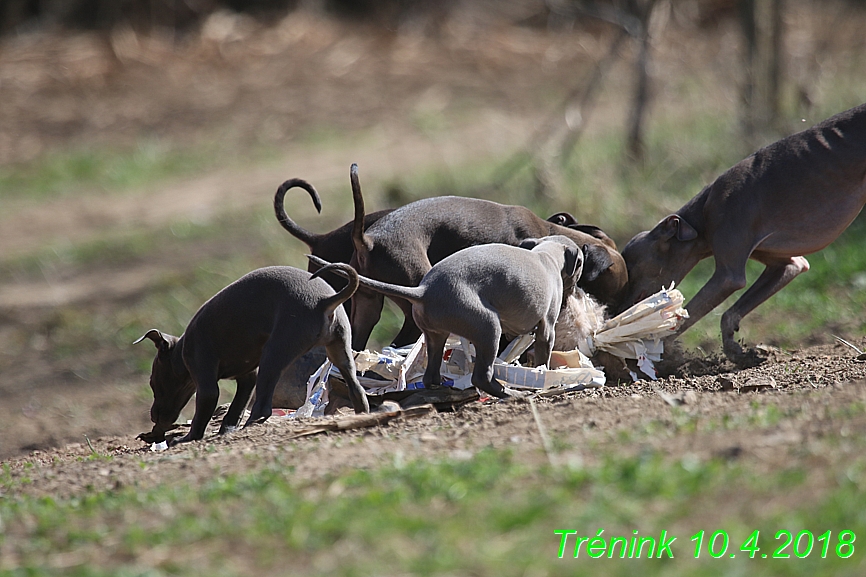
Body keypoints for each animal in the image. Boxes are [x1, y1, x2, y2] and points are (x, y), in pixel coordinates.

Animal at [135, 264, 368, 444]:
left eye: (152, 382)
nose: (155, 417)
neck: (181, 350)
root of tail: (325, 301)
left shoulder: (203, 373)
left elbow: (205, 408)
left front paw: (185, 438)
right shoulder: (247, 377)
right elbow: (236, 408)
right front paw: (226, 430)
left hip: (274, 353)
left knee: (264, 407)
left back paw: (250, 425)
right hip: (340, 350)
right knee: (357, 390)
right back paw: (363, 414)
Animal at [308, 236, 576, 398]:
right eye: (581, 263)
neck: (545, 254)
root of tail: (424, 291)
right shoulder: (546, 327)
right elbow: (544, 352)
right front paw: (545, 375)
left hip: (436, 334)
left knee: (430, 375)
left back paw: (443, 387)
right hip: (488, 327)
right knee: (482, 375)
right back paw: (510, 394)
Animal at [346, 164, 628, 348]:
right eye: (606, 295)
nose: (606, 315)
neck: (549, 232)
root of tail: (368, 241)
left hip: (366, 309)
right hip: (413, 301)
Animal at [616, 102, 864, 364]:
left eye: (631, 267)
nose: (616, 310)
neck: (702, 215)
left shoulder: (728, 270)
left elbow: (691, 313)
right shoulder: (786, 264)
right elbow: (732, 312)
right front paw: (736, 350)